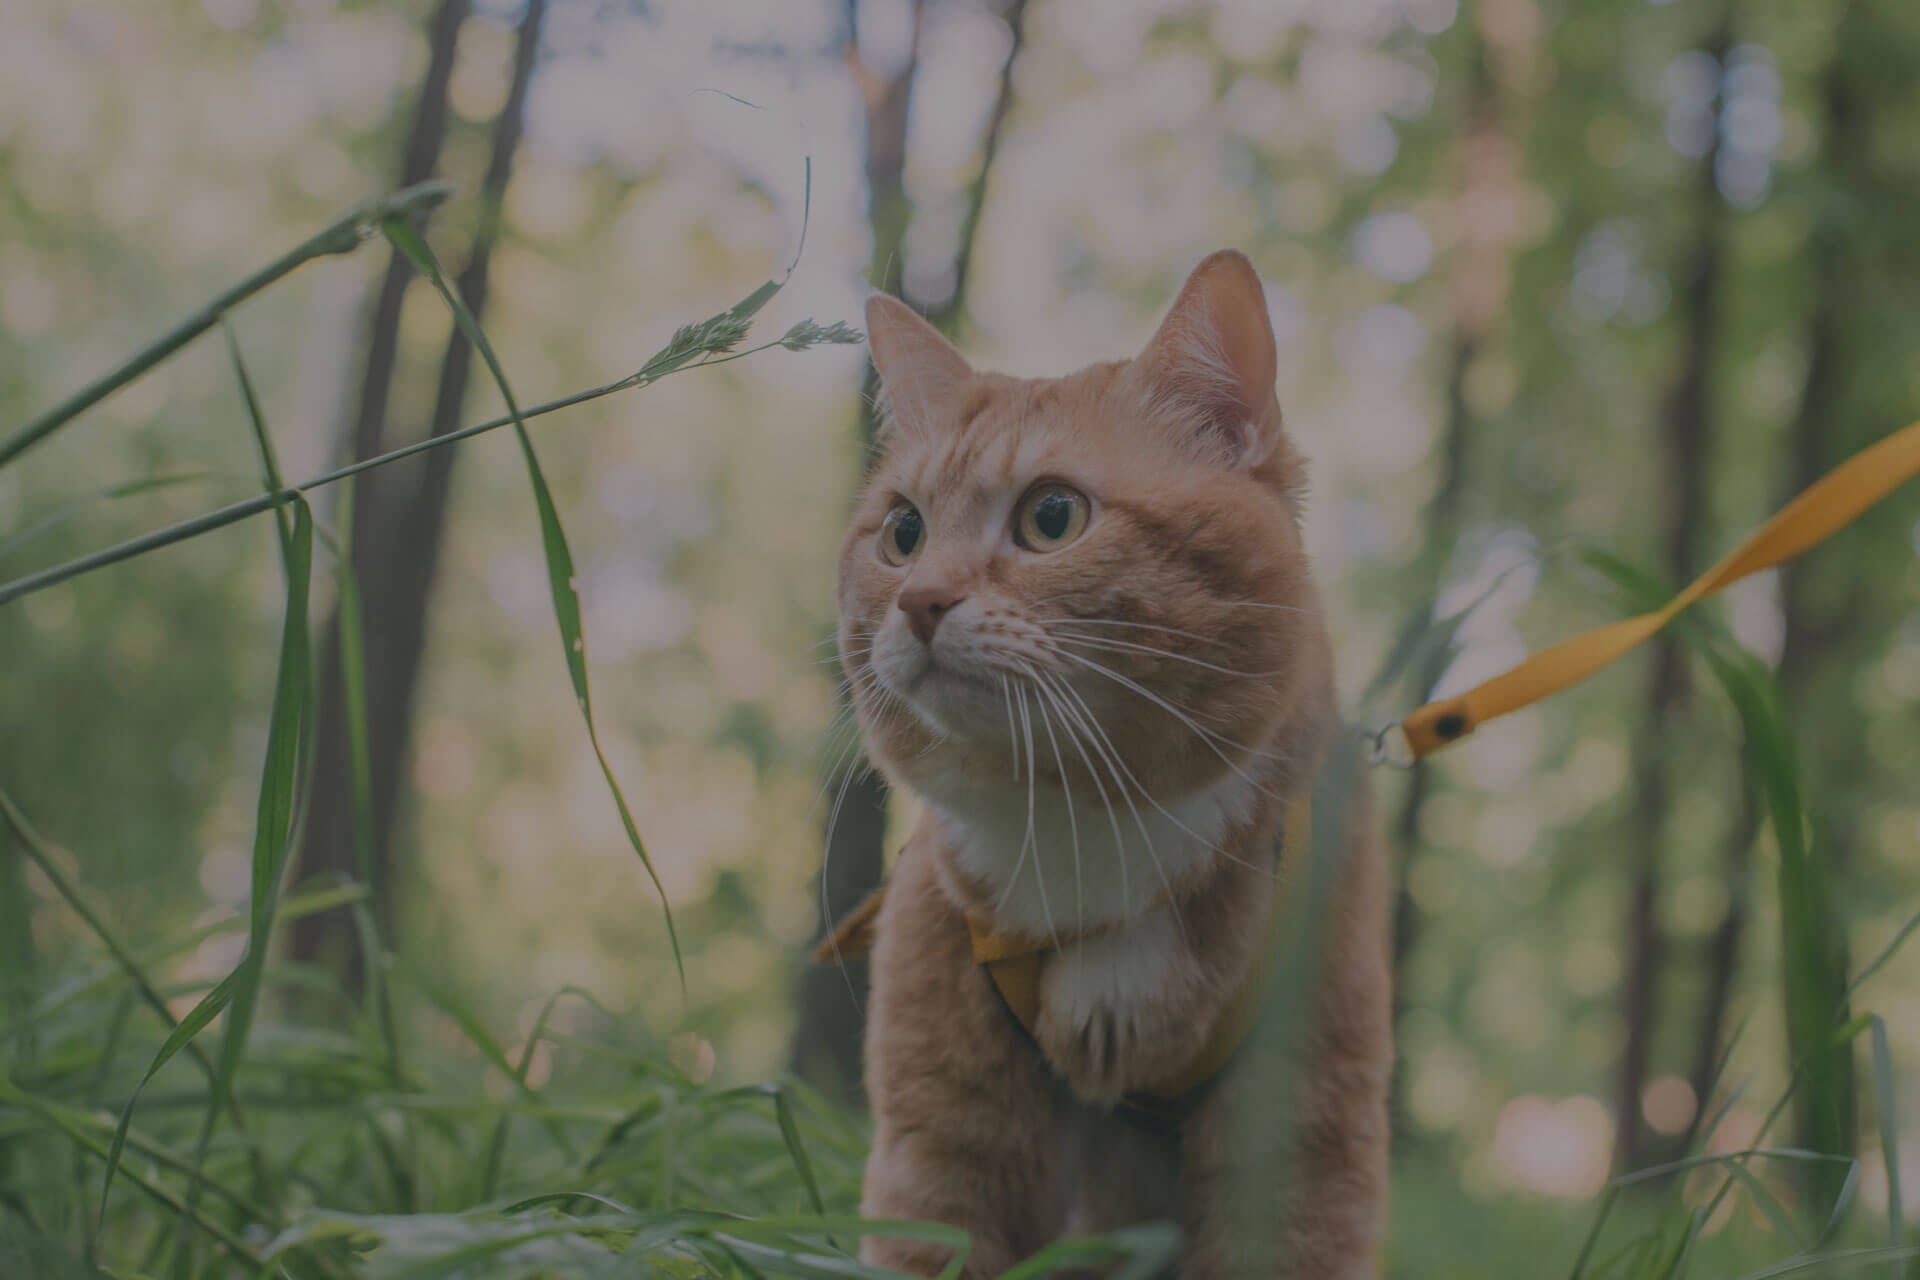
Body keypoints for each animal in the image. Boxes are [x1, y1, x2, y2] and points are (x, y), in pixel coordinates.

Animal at [840, 253, 1397, 1280]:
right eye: (902, 533)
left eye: (1052, 516)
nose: (921, 600)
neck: (1085, 822)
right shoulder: (944, 1140)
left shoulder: (1302, 1142)